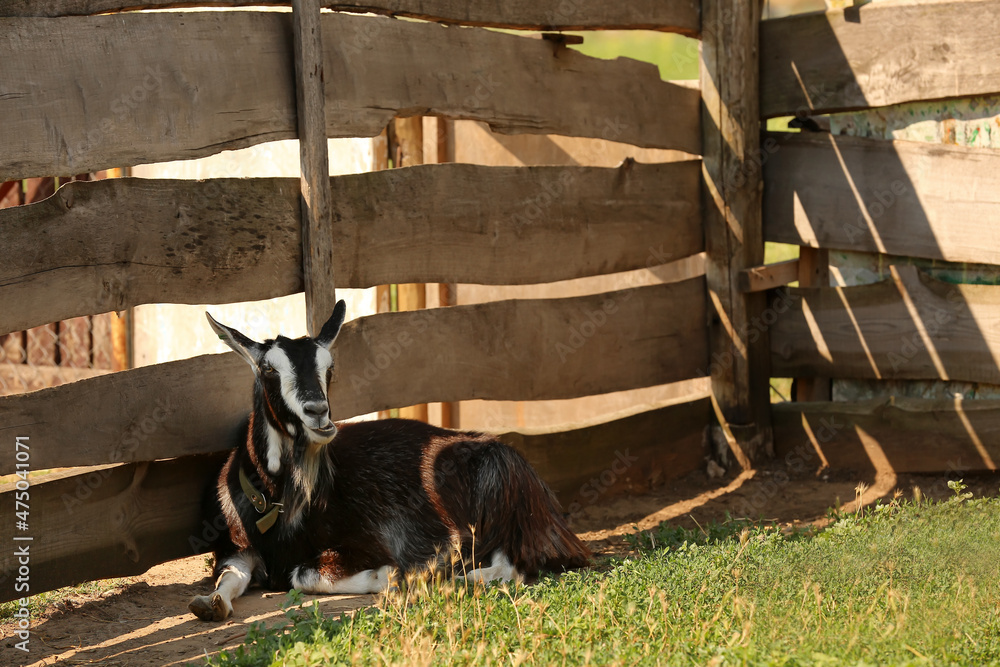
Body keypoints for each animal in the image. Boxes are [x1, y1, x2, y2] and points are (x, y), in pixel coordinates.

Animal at [189, 301, 591, 621]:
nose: (318, 413)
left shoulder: (369, 542)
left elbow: (302, 574)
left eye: (329, 368)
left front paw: (393, 576)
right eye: (269, 369)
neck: (277, 501)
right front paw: (209, 604)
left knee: (513, 565)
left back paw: (454, 578)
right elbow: (228, 576)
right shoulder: (235, 550)